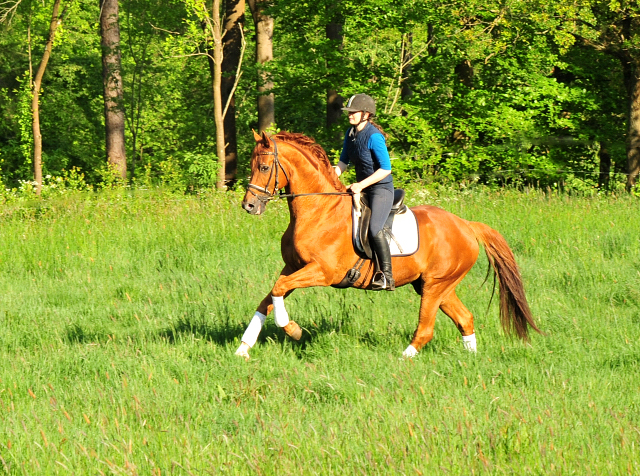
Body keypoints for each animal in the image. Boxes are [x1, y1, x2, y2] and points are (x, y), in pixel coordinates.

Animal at [234, 128, 540, 358]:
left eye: (264, 167)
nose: (249, 205)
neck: (319, 210)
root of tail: (466, 225)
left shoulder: (323, 272)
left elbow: (278, 290)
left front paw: (293, 329)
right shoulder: (293, 267)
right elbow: (269, 298)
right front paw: (243, 348)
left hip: (436, 285)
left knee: (426, 328)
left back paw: (405, 358)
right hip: (436, 285)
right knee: (465, 318)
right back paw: (470, 358)